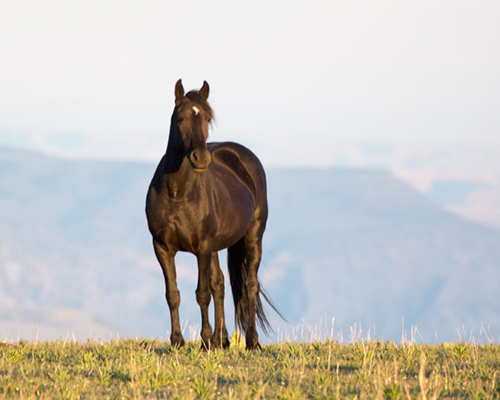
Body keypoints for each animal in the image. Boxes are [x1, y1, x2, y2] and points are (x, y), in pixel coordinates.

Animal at [145, 79, 278, 348]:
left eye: (207, 118)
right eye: (181, 118)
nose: (201, 158)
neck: (177, 193)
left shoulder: (202, 247)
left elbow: (202, 293)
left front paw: (205, 340)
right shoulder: (162, 247)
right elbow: (173, 294)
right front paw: (177, 341)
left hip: (252, 236)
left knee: (250, 284)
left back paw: (251, 342)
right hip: (217, 245)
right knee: (220, 283)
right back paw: (222, 340)